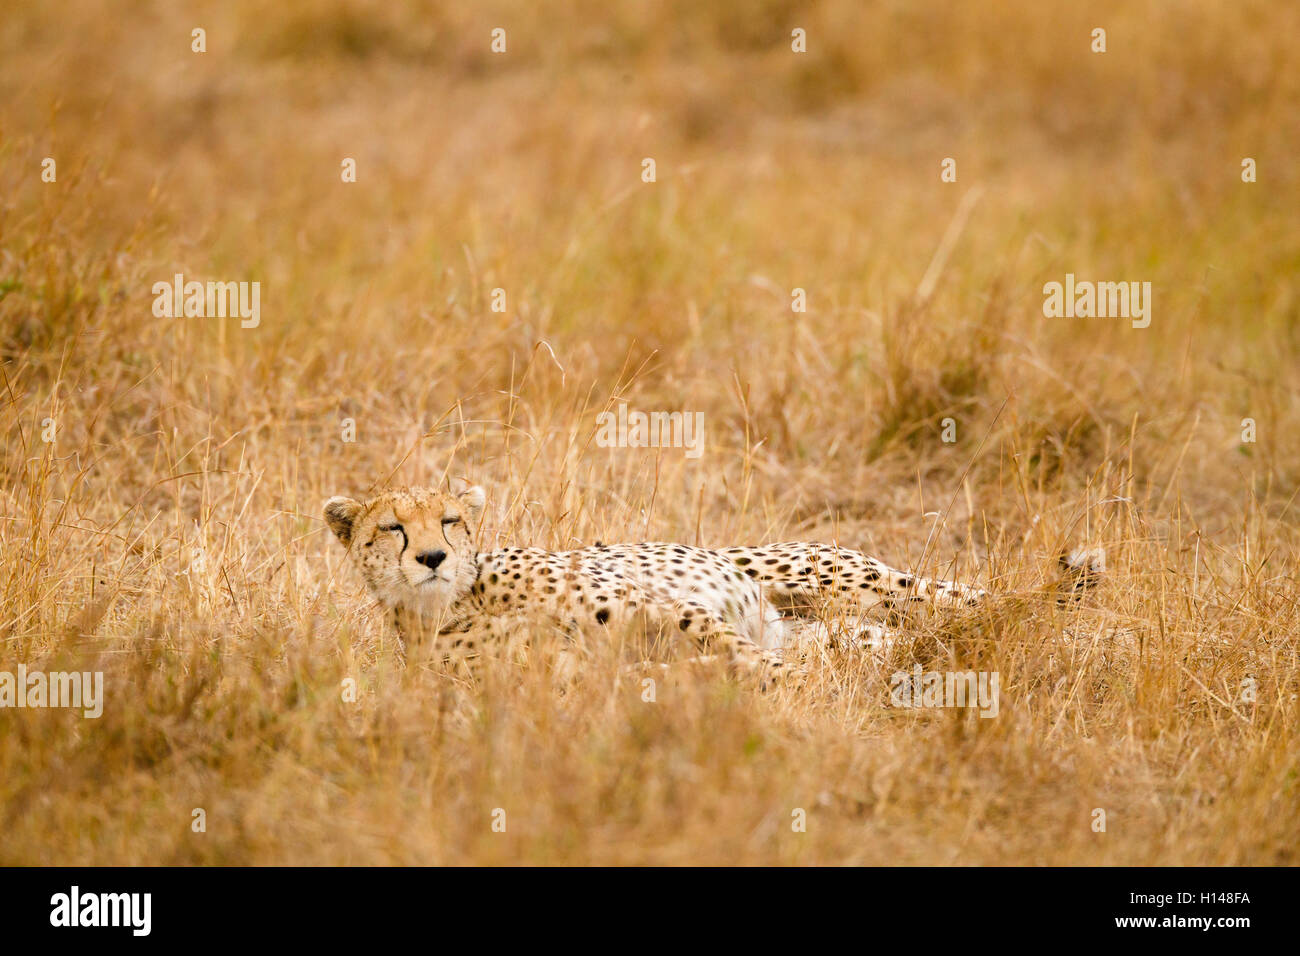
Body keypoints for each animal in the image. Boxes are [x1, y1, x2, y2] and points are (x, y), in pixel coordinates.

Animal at [322, 486, 1097, 686]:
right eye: (392, 528)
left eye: (449, 521)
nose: (431, 557)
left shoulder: (662, 606)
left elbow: (732, 648)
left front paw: (787, 688)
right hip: (857, 629)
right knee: (929, 638)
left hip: (852, 581)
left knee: (984, 601)